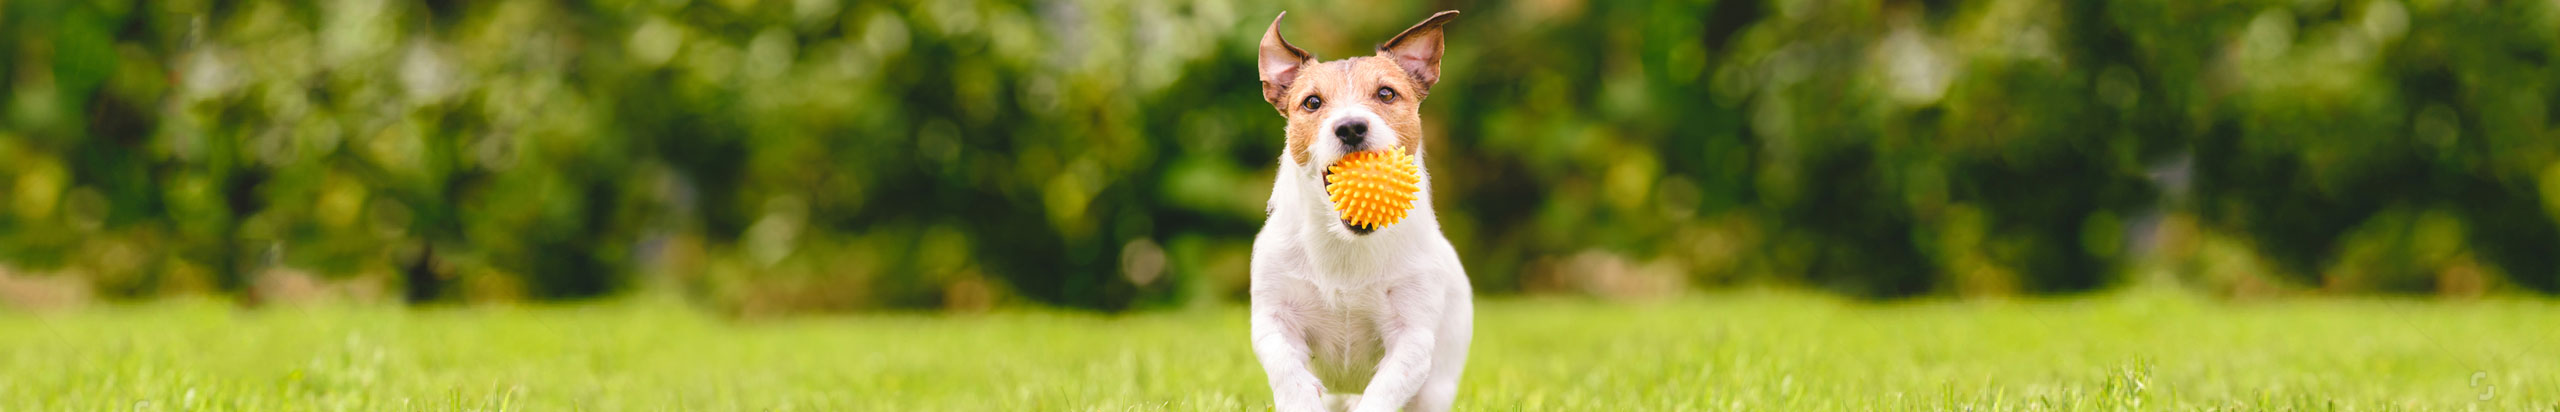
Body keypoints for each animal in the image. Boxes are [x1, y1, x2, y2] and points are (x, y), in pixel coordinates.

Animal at [1249, 9, 1474, 412]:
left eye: (1386, 93)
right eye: (1312, 102)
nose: (1351, 127)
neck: (1346, 246)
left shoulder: (1412, 337)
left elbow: (1384, 390)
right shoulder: (1273, 318)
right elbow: (1286, 368)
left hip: (1437, 387)